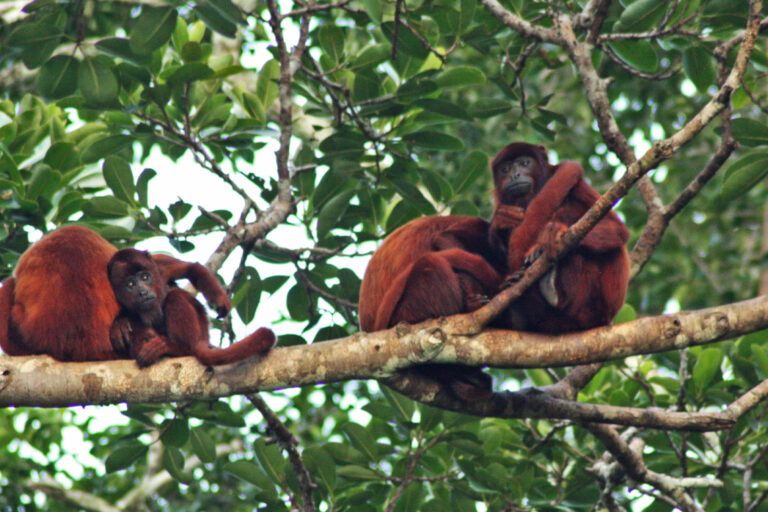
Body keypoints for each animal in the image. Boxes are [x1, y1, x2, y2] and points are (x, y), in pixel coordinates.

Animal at [107, 250, 276, 366]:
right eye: (130, 284)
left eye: (145, 277)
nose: (143, 292)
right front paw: (120, 324)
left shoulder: (160, 263)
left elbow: (192, 269)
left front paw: (220, 300)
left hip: (199, 327)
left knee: (175, 298)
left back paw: (178, 348)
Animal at [492, 142, 632, 332]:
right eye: (504, 169)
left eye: (524, 163)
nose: (514, 175)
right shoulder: (502, 203)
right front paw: (499, 222)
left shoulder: (579, 185)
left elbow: (616, 227)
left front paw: (554, 235)